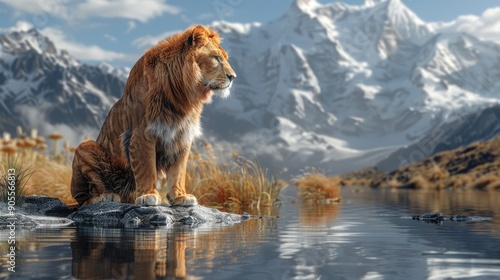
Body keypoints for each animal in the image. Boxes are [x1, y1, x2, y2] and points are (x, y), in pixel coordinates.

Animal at [69, 25, 237, 207]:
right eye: (216, 58)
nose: (233, 77)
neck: (183, 97)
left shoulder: (182, 134)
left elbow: (178, 172)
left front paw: (180, 197)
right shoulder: (141, 134)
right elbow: (146, 169)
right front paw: (148, 195)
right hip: (85, 146)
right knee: (84, 198)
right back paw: (106, 196)